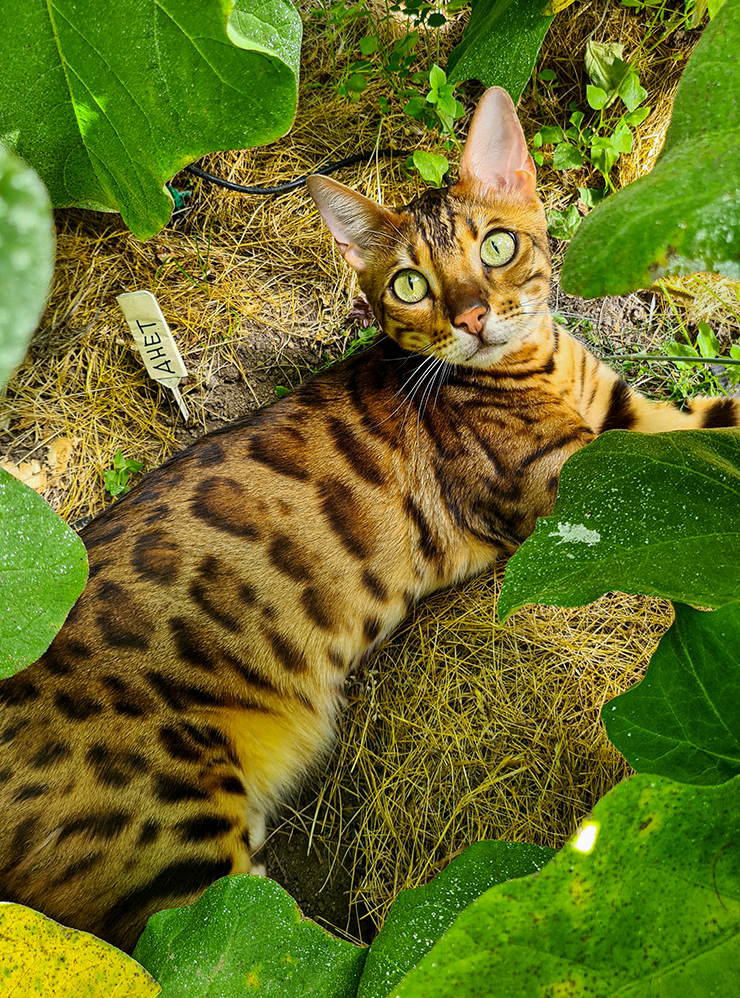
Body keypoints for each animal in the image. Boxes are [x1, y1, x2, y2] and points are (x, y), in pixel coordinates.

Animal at [1, 88, 740, 952]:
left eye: (497, 246)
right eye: (411, 285)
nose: (475, 316)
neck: (541, 364)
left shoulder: (634, 421)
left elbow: (718, 422)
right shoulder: (571, 484)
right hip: (176, 846)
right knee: (249, 949)